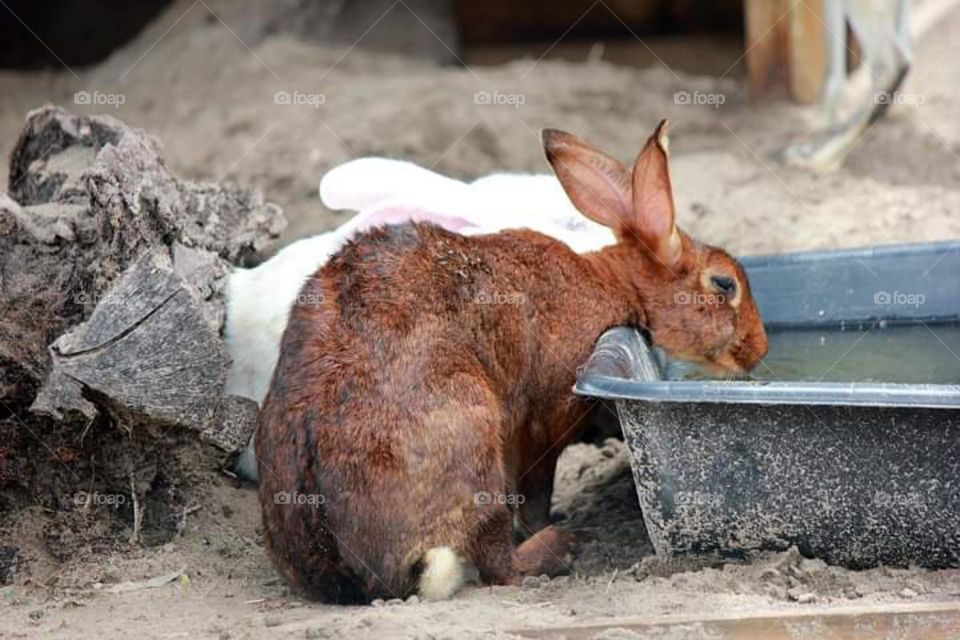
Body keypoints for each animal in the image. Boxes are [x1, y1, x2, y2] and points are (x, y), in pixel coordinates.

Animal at [255, 120, 769, 603]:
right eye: (724, 284)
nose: (759, 348)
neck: (617, 282)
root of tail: (361, 575)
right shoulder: (546, 417)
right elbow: (537, 485)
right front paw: (546, 521)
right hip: (473, 429)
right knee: (498, 562)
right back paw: (559, 546)